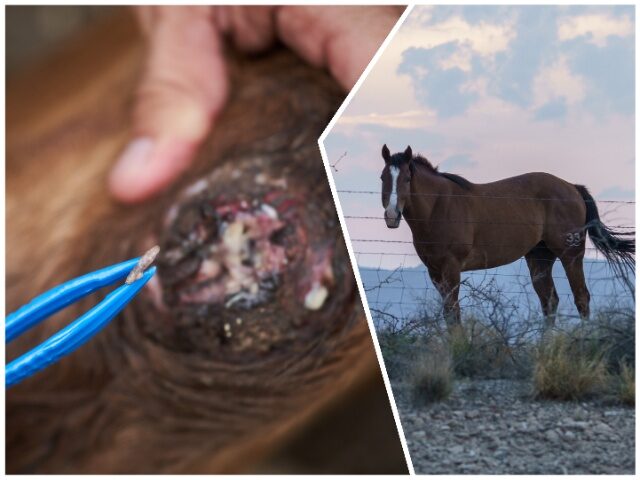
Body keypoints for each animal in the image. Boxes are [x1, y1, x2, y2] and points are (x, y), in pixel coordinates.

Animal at [379, 144, 635, 326]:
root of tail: (573, 187)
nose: (392, 215)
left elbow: (454, 313)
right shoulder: (435, 271)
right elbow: (448, 315)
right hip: (540, 257)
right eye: (383, 177)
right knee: (549, 301)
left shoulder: (451, 269)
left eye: (407, 178)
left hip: (570, 255)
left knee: (581, 298)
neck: (439, 206)